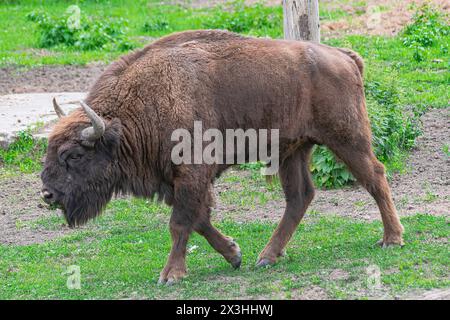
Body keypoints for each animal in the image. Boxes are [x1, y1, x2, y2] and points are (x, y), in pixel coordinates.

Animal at [39, 30, 404, 284]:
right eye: (50, 149)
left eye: (73, 155)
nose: (47, 194)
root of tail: (344, 55)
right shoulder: (177, 182)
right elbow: (198, 220)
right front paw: (234, 254)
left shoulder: (191, 174)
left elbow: (180, 223)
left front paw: (171, 275)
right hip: (293, 151)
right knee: (300, 196)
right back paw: (267, 256)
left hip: (347, 138)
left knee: (374, 176)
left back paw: (392, 239)